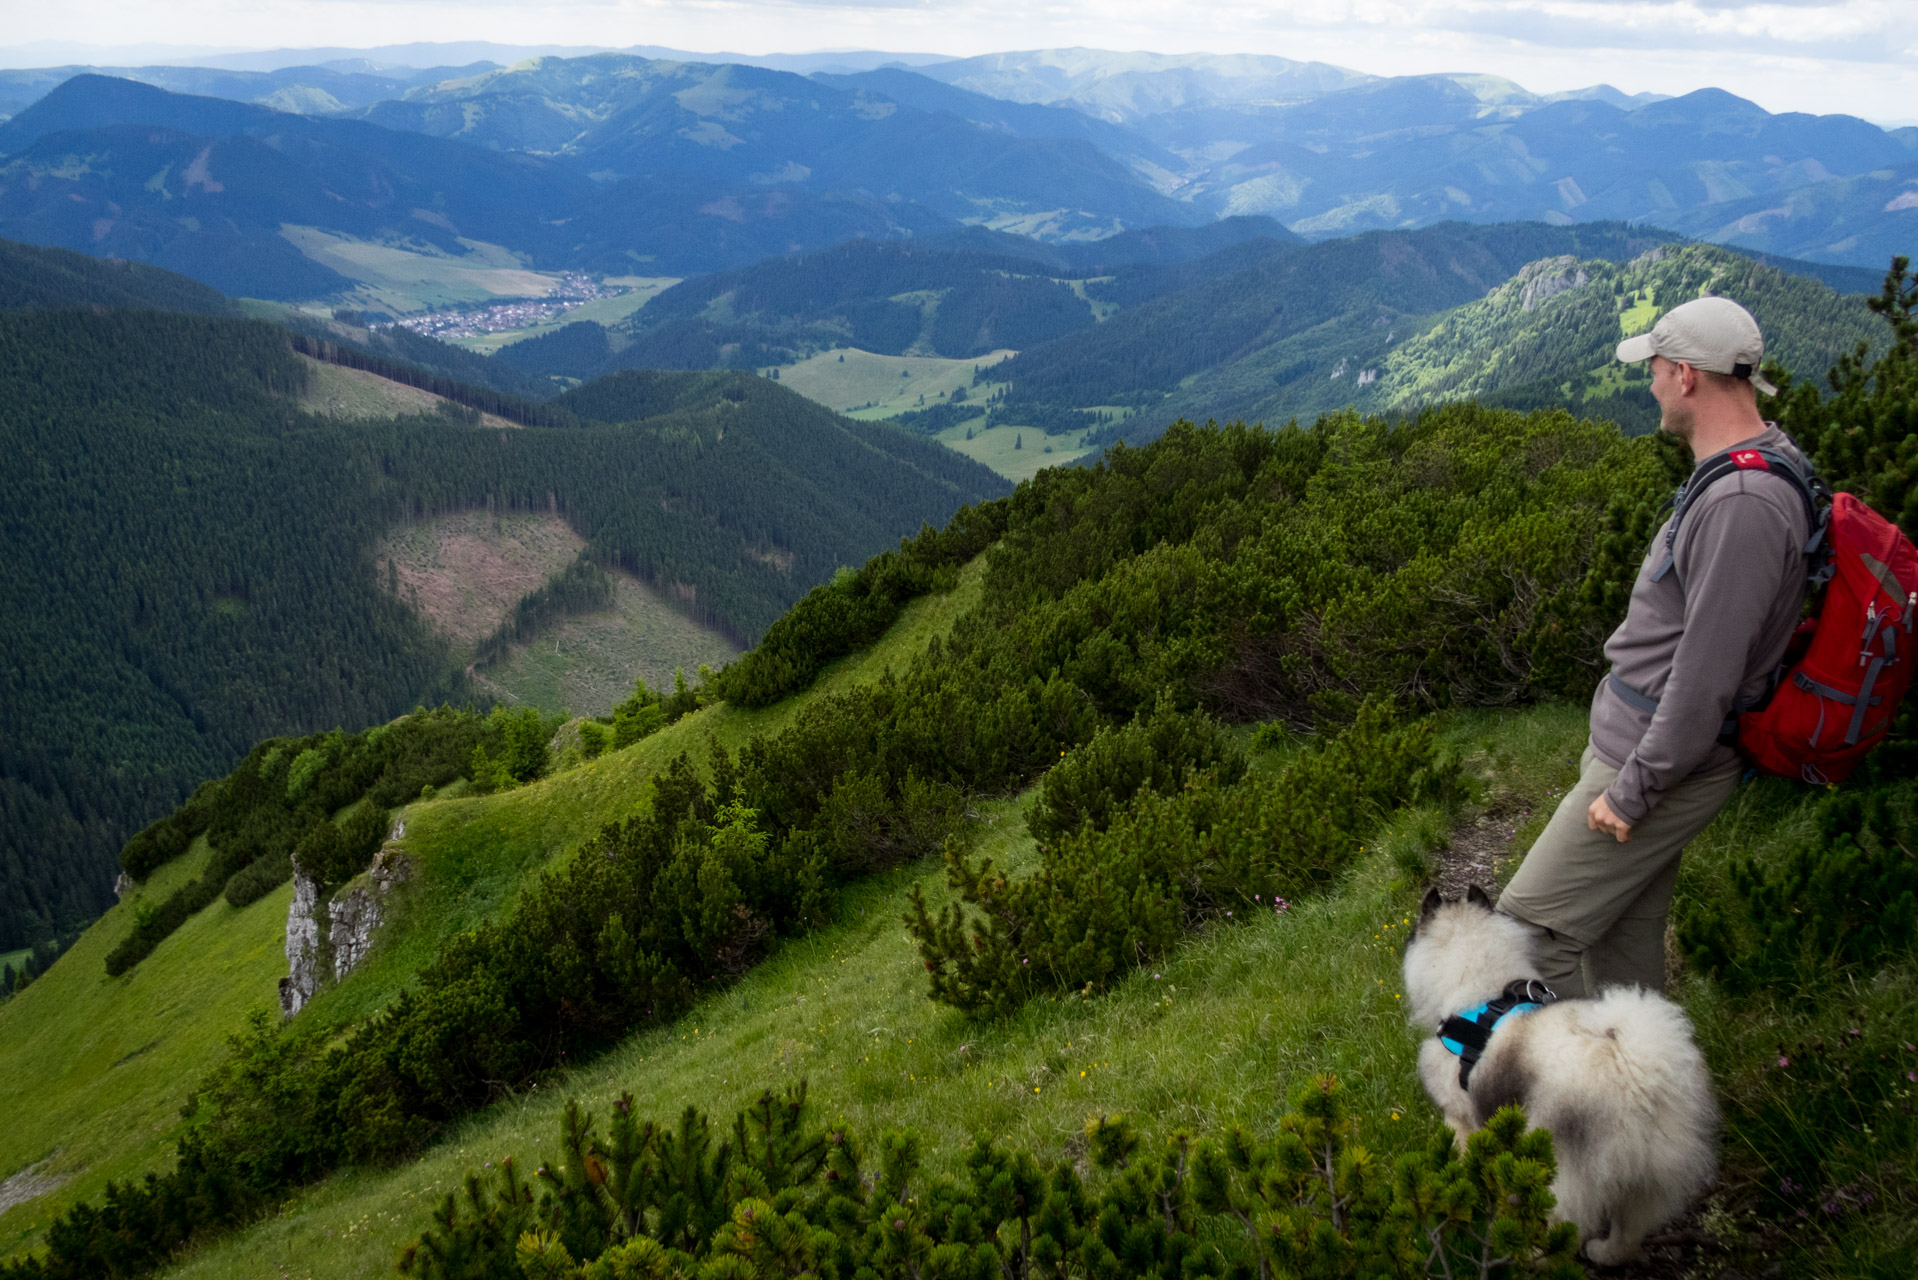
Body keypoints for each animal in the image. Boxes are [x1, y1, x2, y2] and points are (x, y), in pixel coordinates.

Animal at [1403, 886, 1718, 1266]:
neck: (1481, 995)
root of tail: (1637, 1072)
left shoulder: (1460, 1116)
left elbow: (1464, 1153)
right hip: (1646, 1183)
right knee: (1628, 1232)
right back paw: (1604, 1253)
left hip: (1562, 1174)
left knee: (1564, 1231)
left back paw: (1530, 1256)